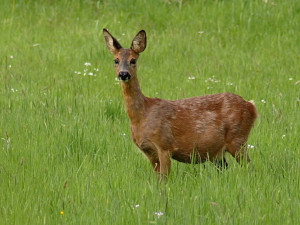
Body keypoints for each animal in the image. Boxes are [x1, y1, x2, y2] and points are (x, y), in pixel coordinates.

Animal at [103, 29, 258, 178]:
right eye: (116, 60)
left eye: (133, 60)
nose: (123, 74)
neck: (142, 116)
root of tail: (251, 106)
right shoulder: (149, 152)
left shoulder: (164, 145)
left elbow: (164, 179)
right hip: (218, 152)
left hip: (237, 139)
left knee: (250, 168)